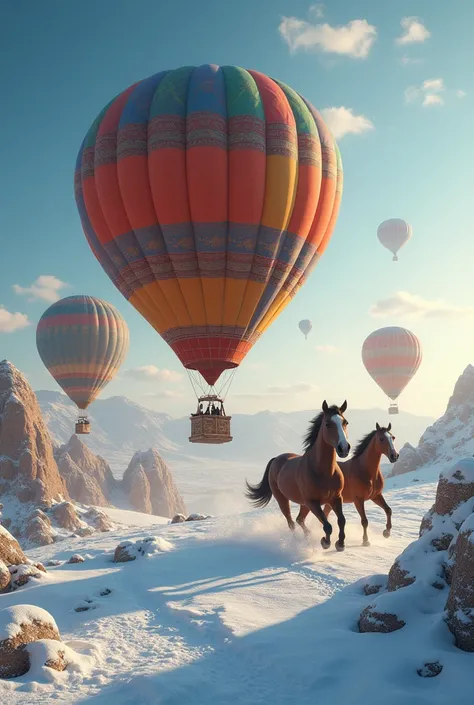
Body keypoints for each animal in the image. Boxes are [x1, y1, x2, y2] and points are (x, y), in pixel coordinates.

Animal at [246, 402, 350, 552]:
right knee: (291, 522)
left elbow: (341, 520)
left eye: (345, 422)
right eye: (327, 424)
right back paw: (296, 541)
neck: (325, 473)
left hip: (303, 504)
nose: (344, 448)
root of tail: (276, 459)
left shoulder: (336, 498)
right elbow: (327, 525)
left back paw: (307, 536)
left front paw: (340, 544)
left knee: (299, 519)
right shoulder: (312, 502)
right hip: (283, 499)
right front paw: (325, 542)